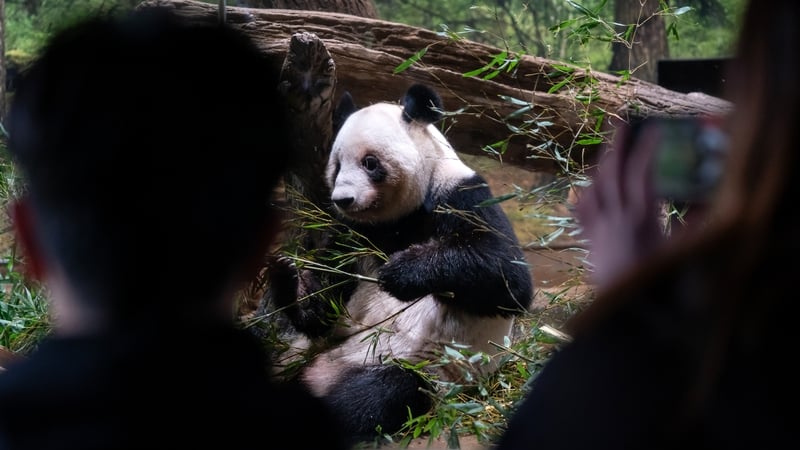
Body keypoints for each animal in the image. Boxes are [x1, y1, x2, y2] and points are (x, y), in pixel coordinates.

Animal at [268, 83, 534, 443]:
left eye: (369, 163)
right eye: (336, 165)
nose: (343, 199)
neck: (395, 220)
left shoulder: (460, 195)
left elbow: (506, 275)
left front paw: (400, 273)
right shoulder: (351, 233)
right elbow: (328, 298)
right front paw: (302, 288)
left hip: (419, 368)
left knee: (378, 395)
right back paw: (283, 281)